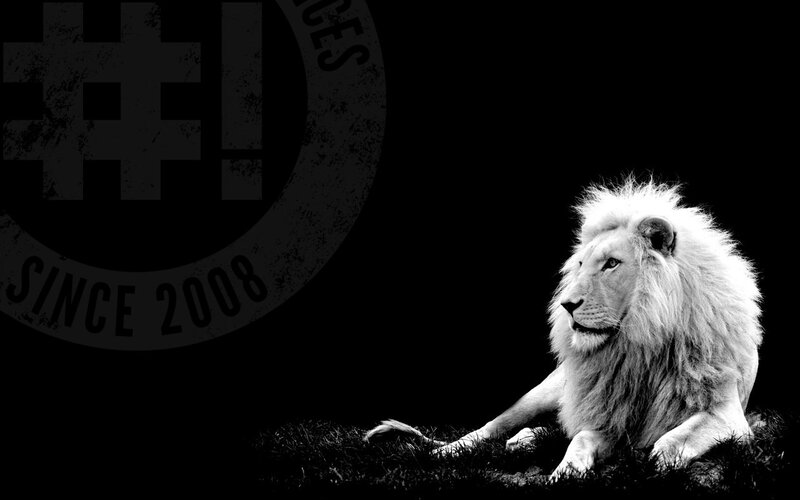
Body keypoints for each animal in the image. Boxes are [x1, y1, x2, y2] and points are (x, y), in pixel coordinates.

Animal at [365, 180, 762, 479]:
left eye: (612, 264)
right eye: (582, 265)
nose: (566, 305)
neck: (641, 342)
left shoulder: (727, 415)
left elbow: (671, 440)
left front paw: (658, 459)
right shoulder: (605, 415)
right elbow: (580, 440)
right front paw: (566, 472)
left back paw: (525, 441)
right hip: (541, 394)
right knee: (491, 428)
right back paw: (449, 453)